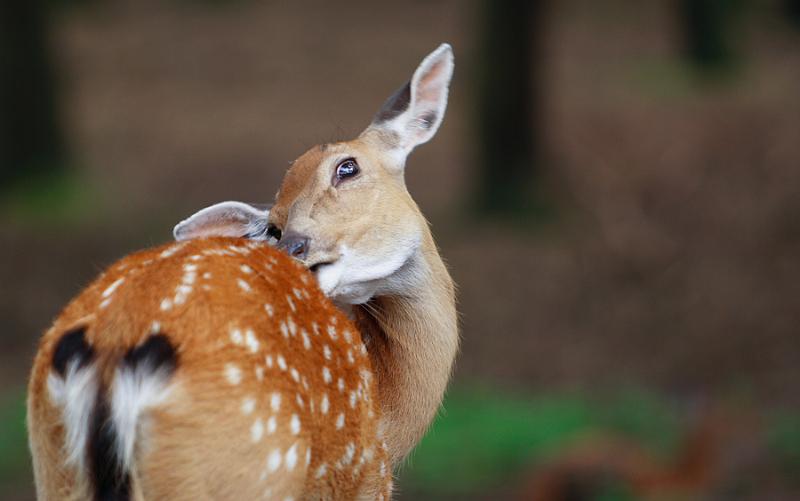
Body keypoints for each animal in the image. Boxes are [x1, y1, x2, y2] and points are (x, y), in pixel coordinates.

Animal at [28, 45, 460, 498]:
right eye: (274, 227)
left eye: (348, 167)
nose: (292, 246)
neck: (385, 410)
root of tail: (114, 345)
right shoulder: (365, 482)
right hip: (249, 461)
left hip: (53, 465)